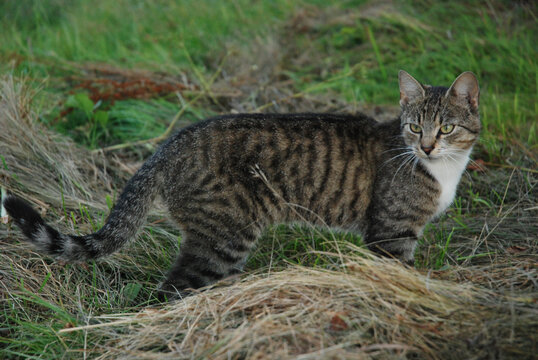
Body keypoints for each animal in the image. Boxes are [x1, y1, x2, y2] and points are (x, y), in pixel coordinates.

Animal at [0, 69, 478, 298]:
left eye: (447, 128)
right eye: (414, 127)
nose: (428, 147)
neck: (442, 169)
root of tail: (168, 146)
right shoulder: (392, 233)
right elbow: (401, 273)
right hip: (226, 235)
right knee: (172, 289)